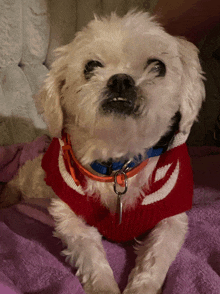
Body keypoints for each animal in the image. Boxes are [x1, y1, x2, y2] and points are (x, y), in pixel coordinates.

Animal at [2, 10, 205, 292]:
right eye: (90, 66)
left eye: (158, 66)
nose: (121, 80)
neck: (118, 162)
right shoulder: (69, 215)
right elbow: (89, 254)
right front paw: (104, 285)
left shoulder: (172, 219)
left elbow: (156, 259)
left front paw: (141, 286)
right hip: (37, 181)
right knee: (20, 177)